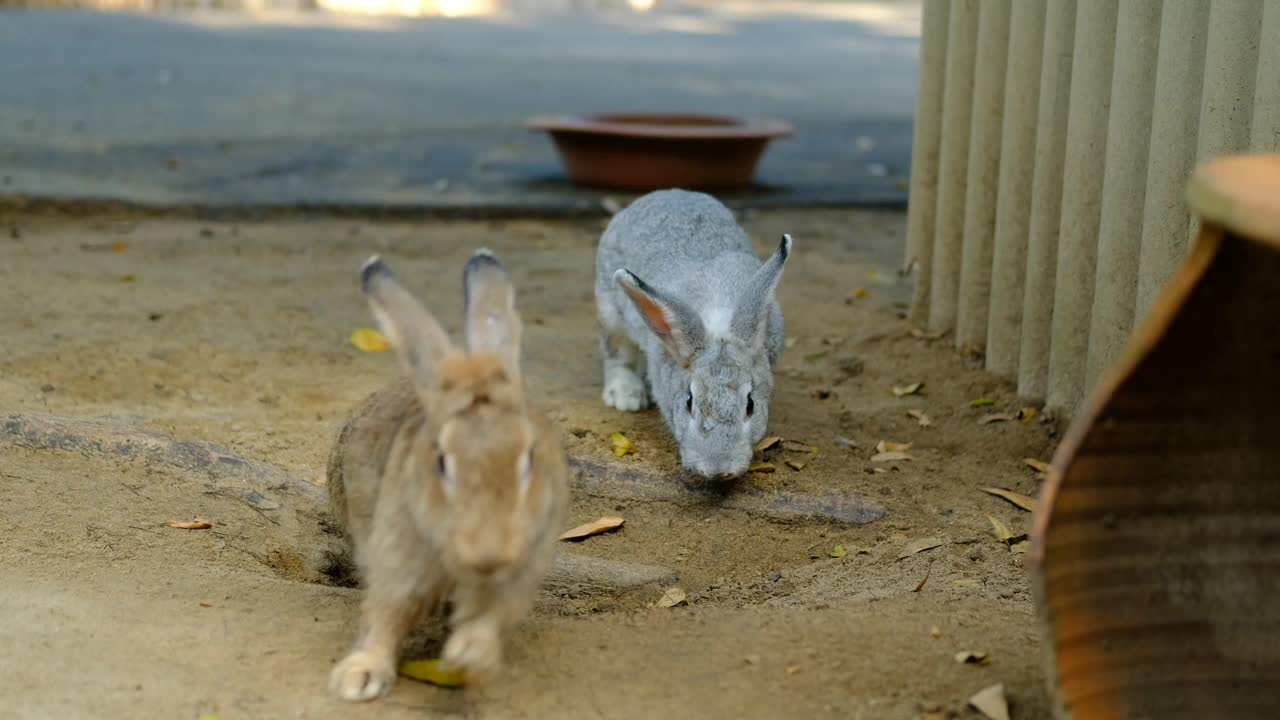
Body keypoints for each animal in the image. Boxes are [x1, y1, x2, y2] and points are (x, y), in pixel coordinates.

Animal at [327, 249, 568, 696]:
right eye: (441, 461)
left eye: (529, 457)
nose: (489, 553)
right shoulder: (397, 553)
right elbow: (385, 614)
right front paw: (358, 677)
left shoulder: (522, 565)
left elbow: (491, 615)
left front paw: (469, 655)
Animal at [591, 188, 788, 476]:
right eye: (689, 402)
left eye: (750, 404)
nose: (717, 470)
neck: (717, 321)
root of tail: (668, 192)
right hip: (611, 311)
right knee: (617, 352)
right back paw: (626, 397)